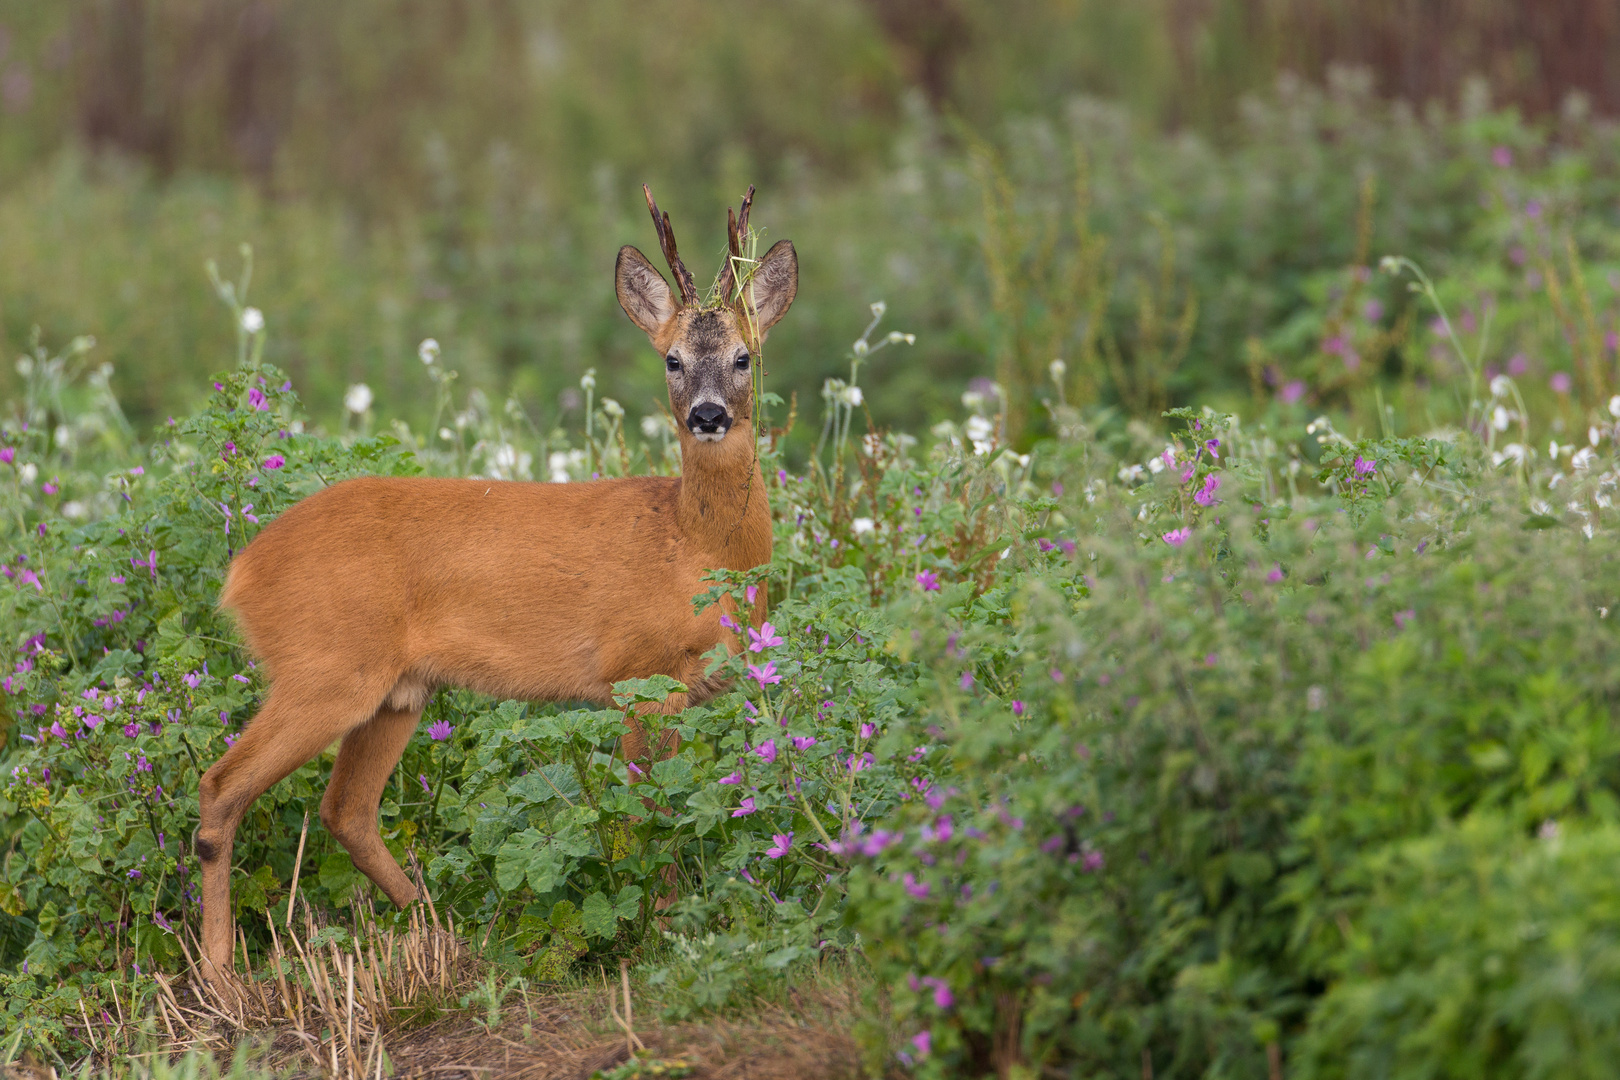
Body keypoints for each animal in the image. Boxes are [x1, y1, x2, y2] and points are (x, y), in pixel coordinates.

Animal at [196, 186, 797, 977]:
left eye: (743, 356)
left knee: (344, 809)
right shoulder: (638, 673)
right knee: (221, 788)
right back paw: (219, 969)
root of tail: (242, 568)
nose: (707, 414)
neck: (692, 547)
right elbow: (651, 811)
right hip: (324, 669)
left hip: (395, 692)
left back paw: (443, 930)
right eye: (671, 359)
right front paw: (666, 928)